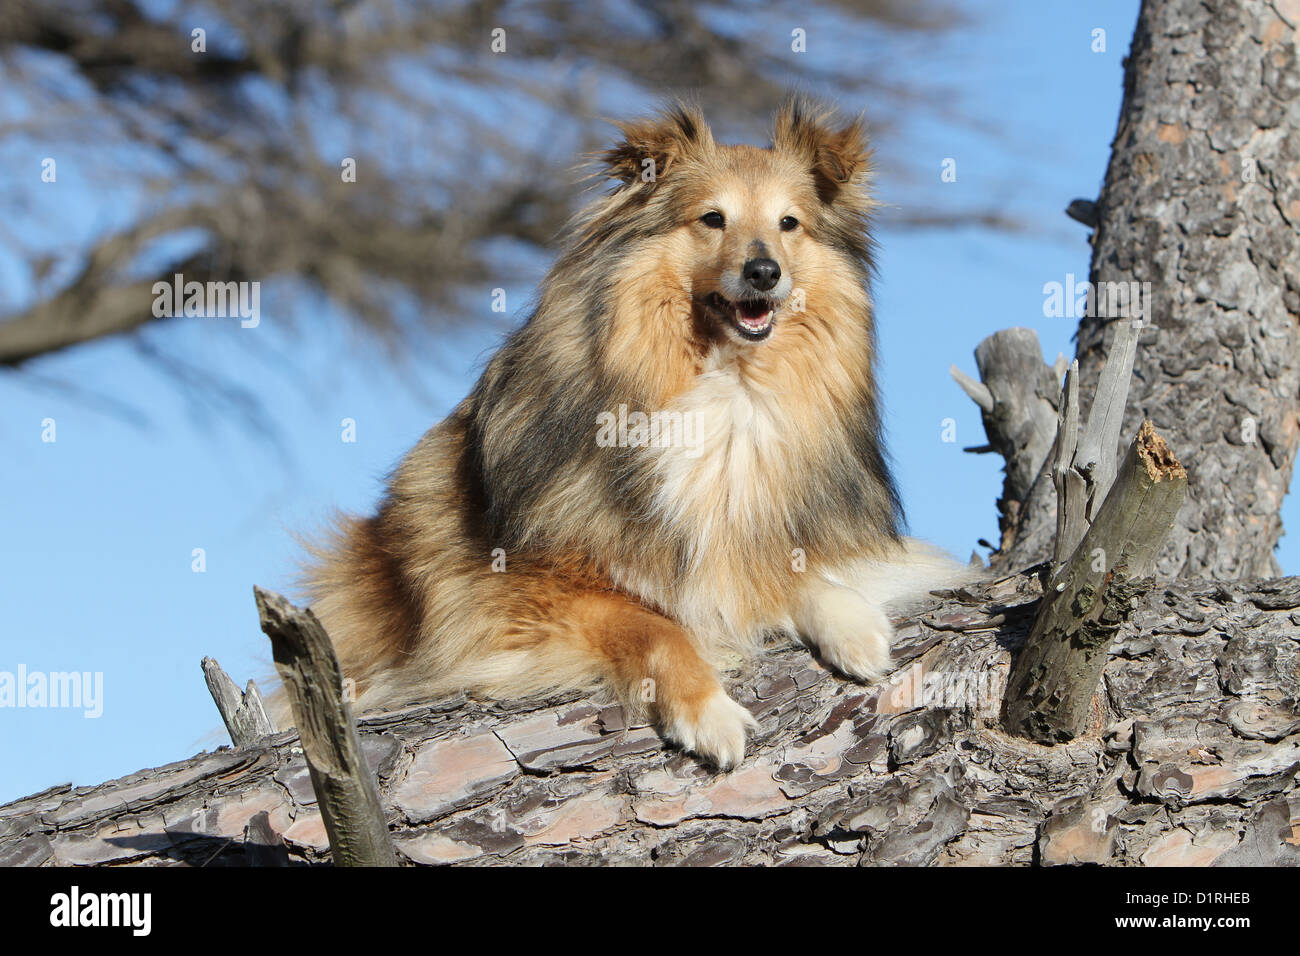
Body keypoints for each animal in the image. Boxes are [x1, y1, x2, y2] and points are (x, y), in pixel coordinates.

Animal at [301, 97, 977, 770]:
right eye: (712, 218)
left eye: (790, 223)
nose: (764, 272)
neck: (724, 385)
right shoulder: (516, 597)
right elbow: (655, 627)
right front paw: (709, 713)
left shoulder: (736, 528)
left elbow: (771, 564)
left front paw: (851, 621)